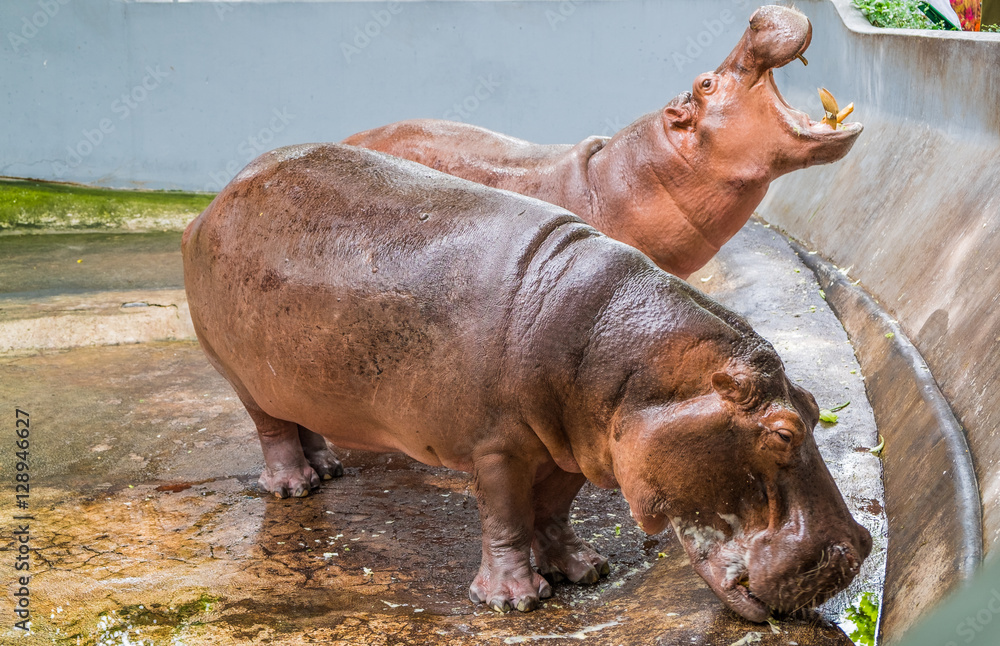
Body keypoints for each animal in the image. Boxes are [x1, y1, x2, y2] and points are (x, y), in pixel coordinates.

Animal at [184, 143, 872, 624]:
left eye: (816, 407)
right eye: (782, 432)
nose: (858, 549)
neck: (628, 361)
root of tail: (217, 200)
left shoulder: (579, 445)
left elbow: (553, 509)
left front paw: (584, 570)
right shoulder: (498, 448)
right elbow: (508, 516)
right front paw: (515, 601)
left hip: (294, 378)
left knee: (300, 420)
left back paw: (327, 469)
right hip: (239, 374)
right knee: (271, 429)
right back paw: (295, 487)